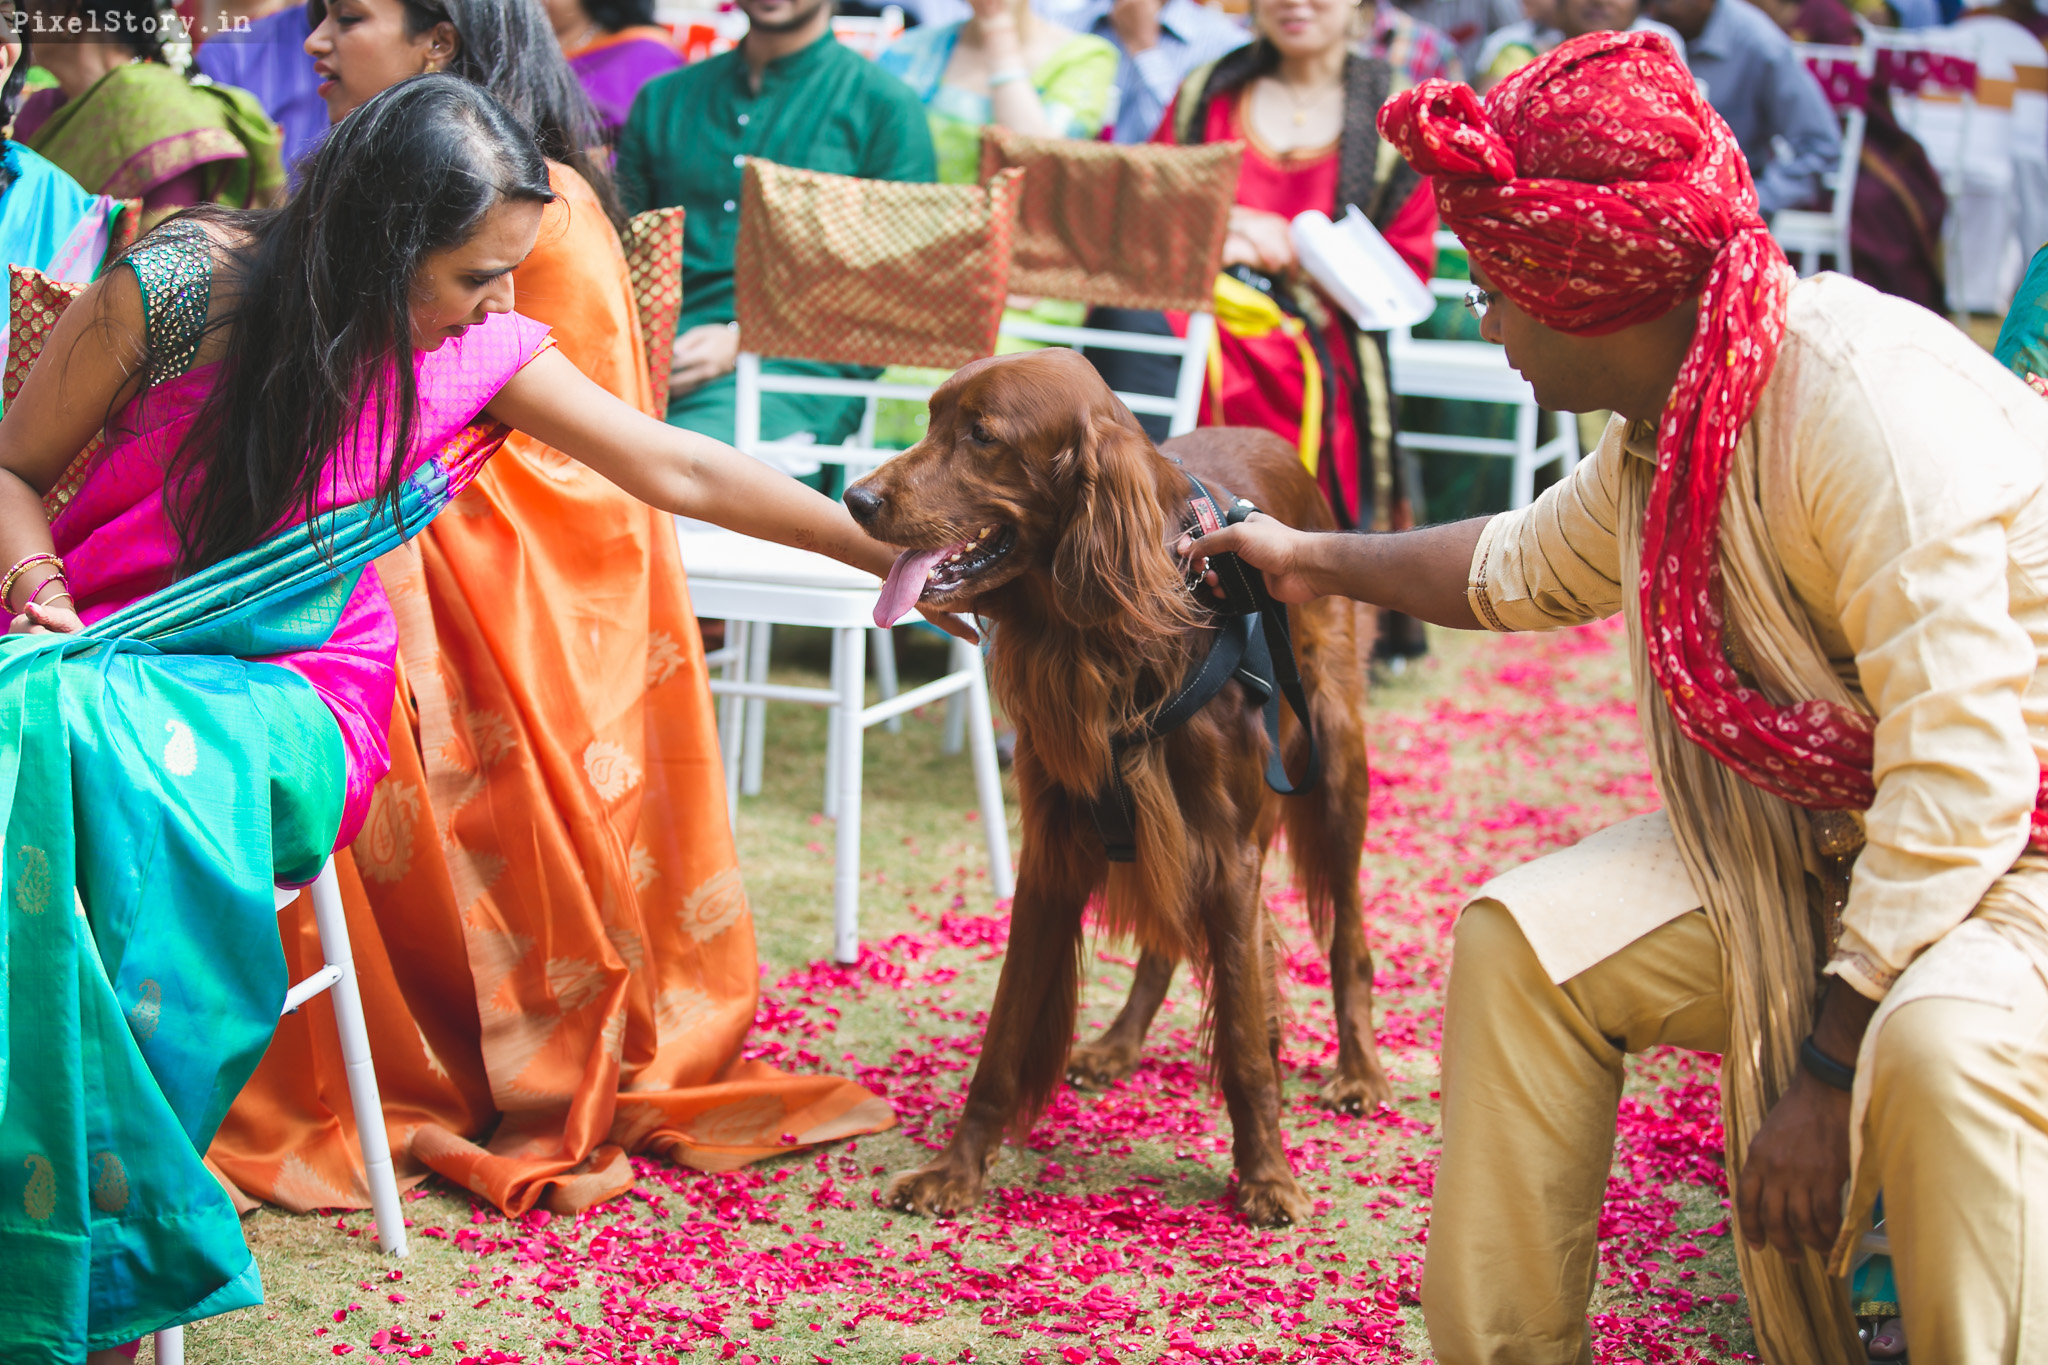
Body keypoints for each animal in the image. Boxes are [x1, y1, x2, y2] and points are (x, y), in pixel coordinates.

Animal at [839, 347, 1384, 1219]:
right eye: (928, 417)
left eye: (983, 434)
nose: (855, 498)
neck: (1103, 633)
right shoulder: (1056, 850)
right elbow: (1004, 1035)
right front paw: (956, 1170)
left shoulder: (1228, 852)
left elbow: (1243, 1041)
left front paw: (1267, 1174)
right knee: (1167, 944)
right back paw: (1119, 1042)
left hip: (1333, 762)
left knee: (1348, 939)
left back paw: (1359, 1072)